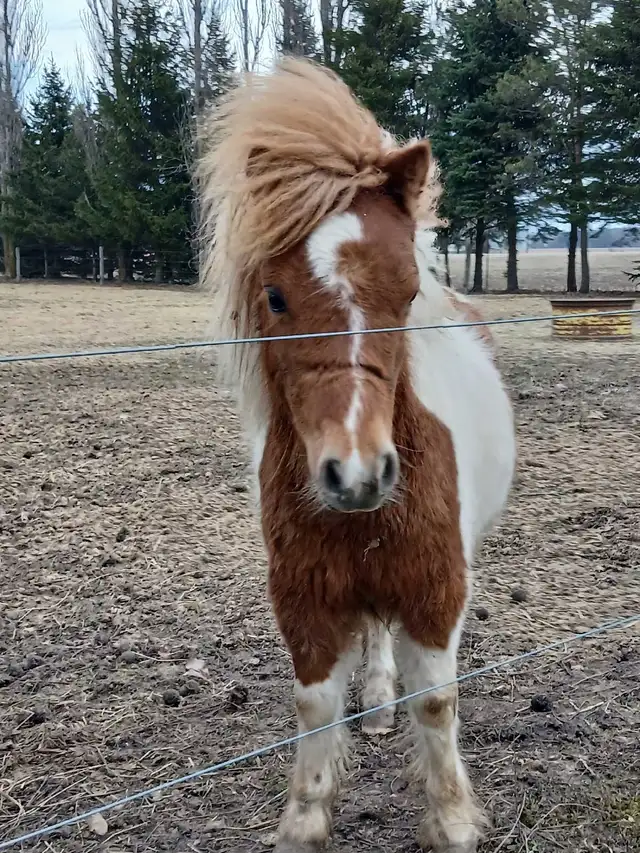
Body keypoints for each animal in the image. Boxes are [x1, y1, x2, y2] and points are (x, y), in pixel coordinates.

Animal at [198, 58, 516, 853]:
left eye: (406, 292)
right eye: (275, 296)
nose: (358, 473)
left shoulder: (437, 590)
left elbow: (436, 703)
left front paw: (452, 821)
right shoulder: (305, 599)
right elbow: (314, 710)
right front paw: (305, 820)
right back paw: (373, 703)